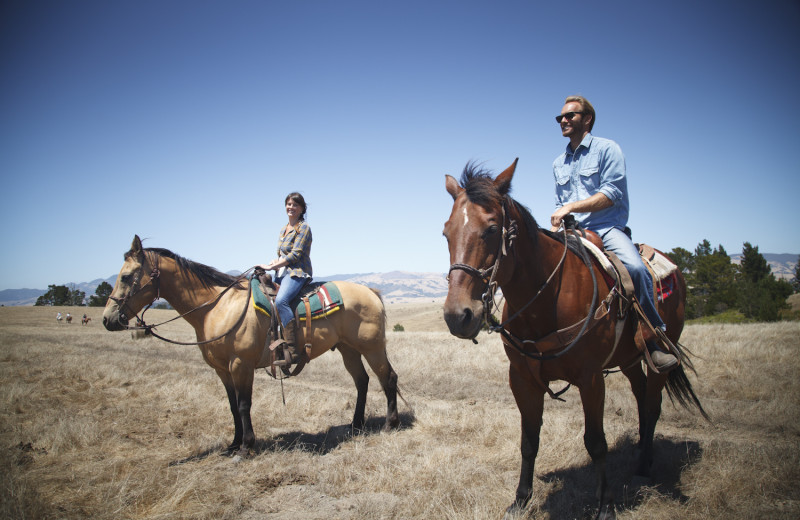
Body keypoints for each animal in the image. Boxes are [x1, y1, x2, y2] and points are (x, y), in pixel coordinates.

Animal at [101, 236, 400, 456]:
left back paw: (390, 424)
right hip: (349, 349)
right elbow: (233, 405)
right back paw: (356, 425)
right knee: (362, 381)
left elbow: (244, 404)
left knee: (387, 378)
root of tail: (370, 292)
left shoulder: (240, 364)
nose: (108, 319)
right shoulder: (222, 369)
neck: (216, 308)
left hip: (372, 348)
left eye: (126, 277)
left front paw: (246, 446)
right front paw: (233, 444)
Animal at [440, 160, 708, 516]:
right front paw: (520, 500)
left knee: (652, 404)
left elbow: (596, 442)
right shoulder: (522, 378)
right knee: (640, 398)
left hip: (660, 354)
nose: (458, 316)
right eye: (446, 232)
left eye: (493, 229)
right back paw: (639, 454)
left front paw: (606, 504)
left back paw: (644, 466)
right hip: (629, 359)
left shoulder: (590, 377)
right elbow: (529, 441)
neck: (546, 299)